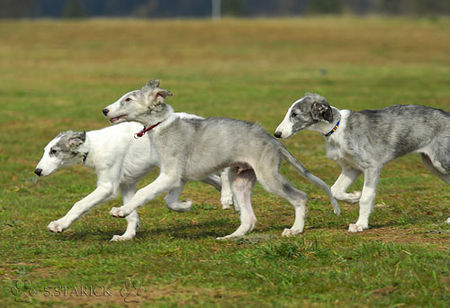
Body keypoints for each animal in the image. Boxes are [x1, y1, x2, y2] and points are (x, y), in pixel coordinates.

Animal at [33, 119, 234, 242]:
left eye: (54, 151)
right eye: (45, 150)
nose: (37, 171)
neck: (92, 146)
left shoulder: (108, 187)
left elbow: (80, 204)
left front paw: (59, 224)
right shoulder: (127, 184)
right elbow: (131, 213)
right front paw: (127, 236)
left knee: (225, 171)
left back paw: (226, 197)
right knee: (214, 179)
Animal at [103, 80, 342, 239]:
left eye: (128, 99)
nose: (104, 110)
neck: (161, 126)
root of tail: (273, 140)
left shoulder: (170, 175)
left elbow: (143, 193)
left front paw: (121, 211)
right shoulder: (178, 177)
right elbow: (169, 201)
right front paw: (185, 205)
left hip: (268, 177)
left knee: (300, 197)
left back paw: (295, 229)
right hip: (240, 179)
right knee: (249, 218)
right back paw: (231, 237)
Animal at [274, 92, 450, 232]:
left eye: (295, 114)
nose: (277, 134)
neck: (337, 127)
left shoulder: (372, 166)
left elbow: (366, 197)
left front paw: (360, 225)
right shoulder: (351, 167)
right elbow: (335, 190)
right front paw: (353, 197)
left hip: (441, 162)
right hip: (433, 164)